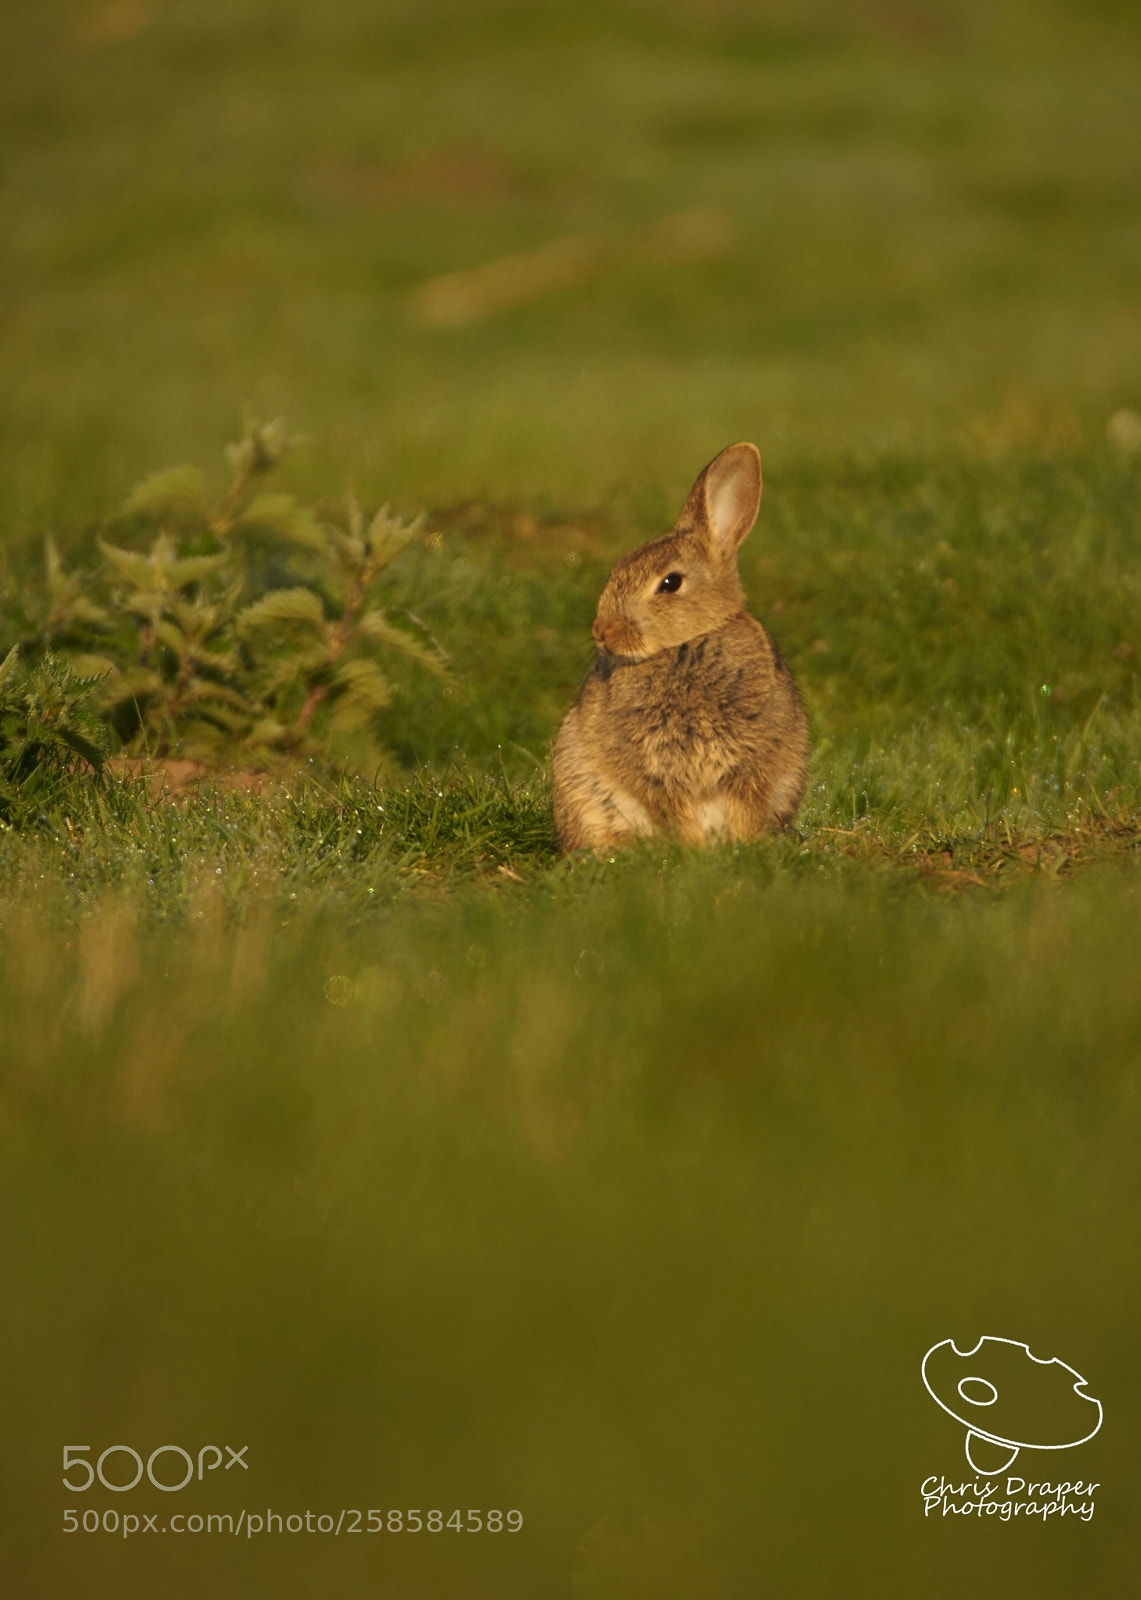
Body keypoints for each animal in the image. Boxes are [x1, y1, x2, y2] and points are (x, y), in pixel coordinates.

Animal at [551, 441, 808, 851]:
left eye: (670, 583)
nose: (602, 631)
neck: (688, 643)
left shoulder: (755, 763)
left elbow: (747, 807)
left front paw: (742, 846)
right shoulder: (653, 770)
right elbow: (673, 808)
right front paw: (693, 849)